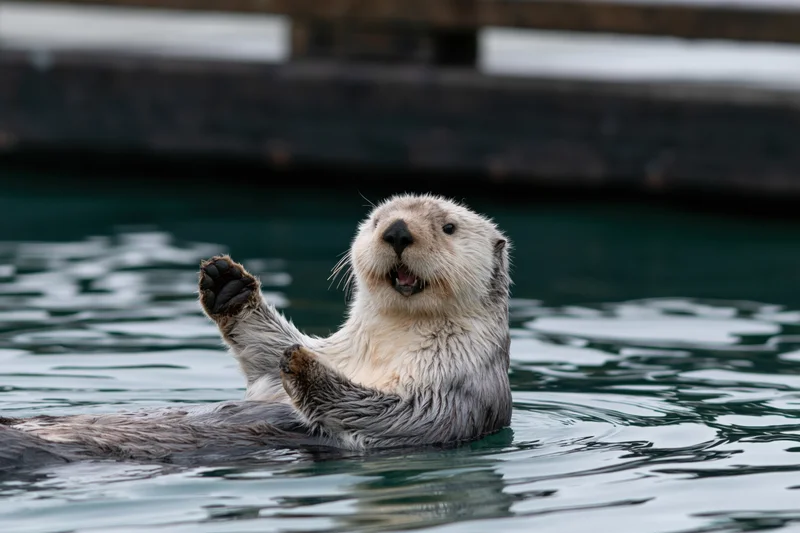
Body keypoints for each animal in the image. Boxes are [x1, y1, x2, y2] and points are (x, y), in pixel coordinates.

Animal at [0, 194, 512, 467]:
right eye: (375, 221)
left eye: (449, 227)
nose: (398, 231)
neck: (389, 341)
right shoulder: (330, 353)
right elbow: (268, 359)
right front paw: (228, 284)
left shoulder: (460, 386)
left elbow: (399, 413)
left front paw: (303, 366)